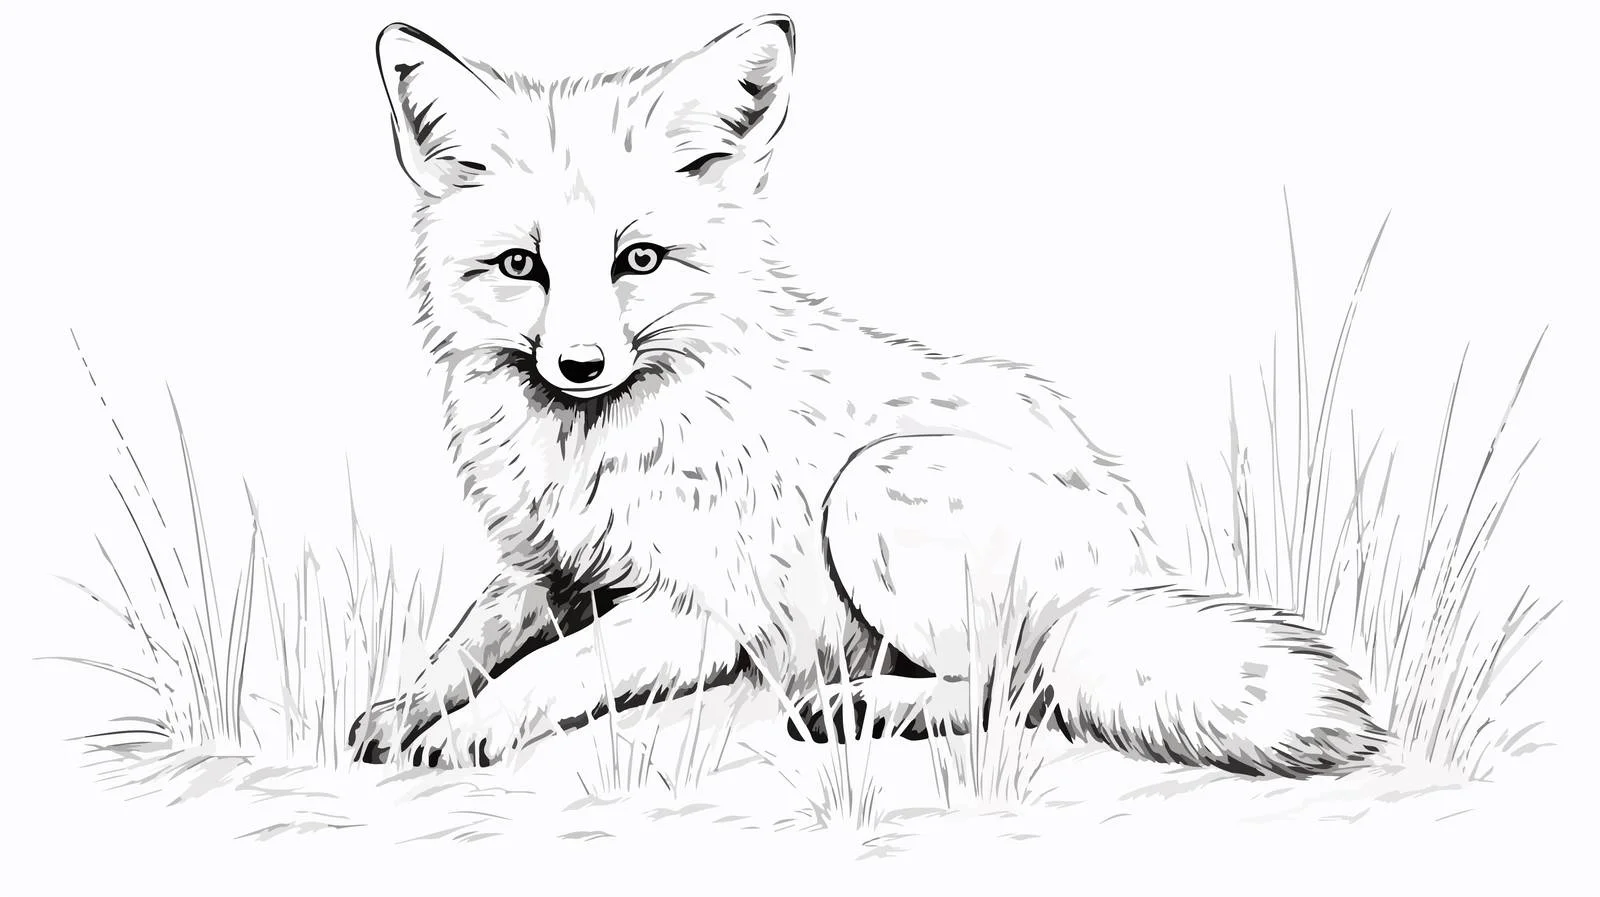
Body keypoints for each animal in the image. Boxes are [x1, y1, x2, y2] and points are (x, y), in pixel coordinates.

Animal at [349, 14, 1386, 777]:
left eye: (637, 260)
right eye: (520, 267)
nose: (579, 364)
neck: (588, 446)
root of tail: (1121, 566)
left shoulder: (701, 610)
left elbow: (555, 668)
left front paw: (466, 729)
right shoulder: (546, 566)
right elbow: (465, 645)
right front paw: (402, 708)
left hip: (874, 491)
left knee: (1017, 687)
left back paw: (871, 707)